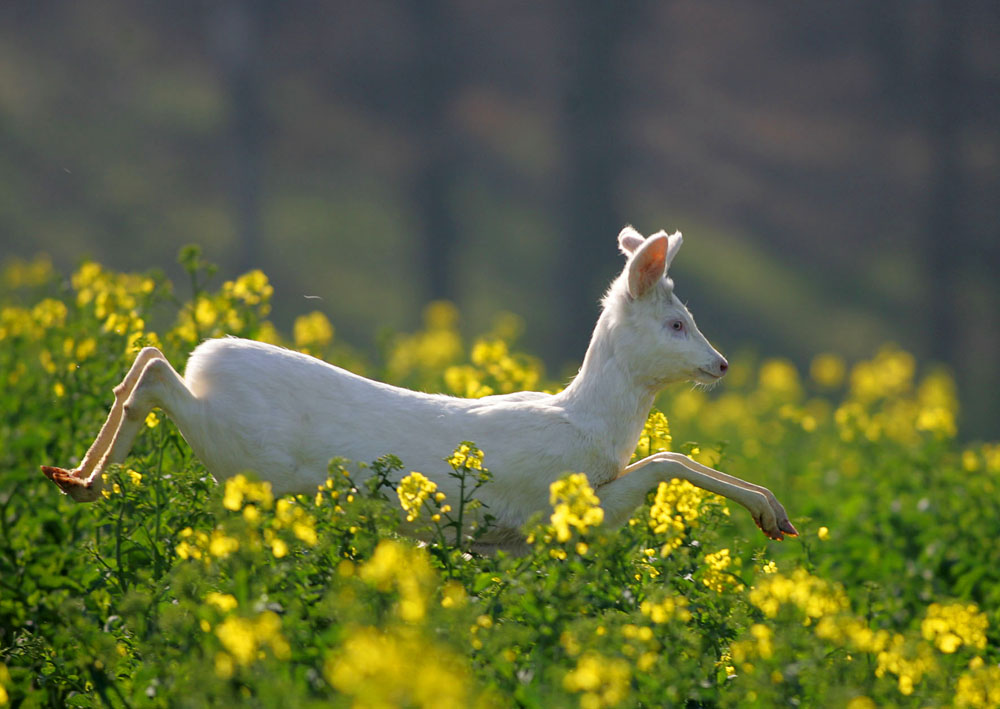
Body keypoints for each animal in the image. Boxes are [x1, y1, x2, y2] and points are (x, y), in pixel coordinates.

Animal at [43, 227, 800, 548]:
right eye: (677, 322)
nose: (720, 364)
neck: (588, 422)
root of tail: (210, 358)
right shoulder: (560, 507)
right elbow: (666, 462)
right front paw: (774, 514)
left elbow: (665, 456)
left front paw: (774, 512)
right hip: (241, 451)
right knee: (156, 379)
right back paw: (83, 480)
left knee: (148, 357)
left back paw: (72, 477)